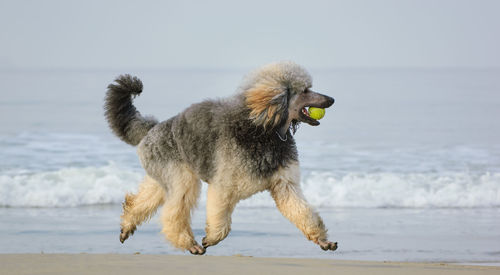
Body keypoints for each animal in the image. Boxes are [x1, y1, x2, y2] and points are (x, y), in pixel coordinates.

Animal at [104, 61, 336, 256]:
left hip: (163, 176)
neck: (264, 130)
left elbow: (303, 213)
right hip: (181, 178)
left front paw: (323, 240)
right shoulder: (223, 186)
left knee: (144, 199)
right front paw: (211, 239)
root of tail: (152, 129)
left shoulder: (285, 185)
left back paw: (126, 226)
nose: (331, 99)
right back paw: (190, 244)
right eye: (305, 90)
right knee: (173, 214)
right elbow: (221, 222)